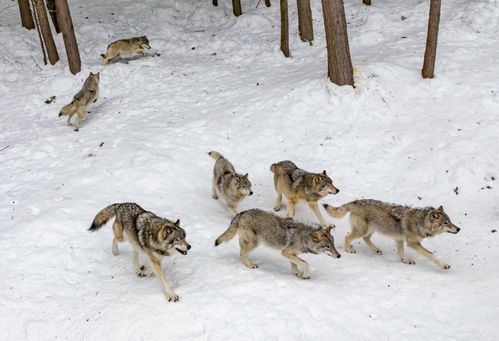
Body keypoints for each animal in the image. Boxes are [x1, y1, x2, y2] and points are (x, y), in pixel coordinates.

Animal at [213, 207, 342, 276]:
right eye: (328, 246)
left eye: (333, 245)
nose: (339, 256)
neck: (304, 238)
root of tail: (241, 212)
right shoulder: (285, 252)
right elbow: (305, 263)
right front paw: (305, 275)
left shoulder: (290, 253)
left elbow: (295, 264)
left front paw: (297, 274)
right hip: (255, 243)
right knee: (242, 253)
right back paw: (250, 265)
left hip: (248, 242)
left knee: (241, 251)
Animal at [324, 199, 460, 268]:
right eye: (446, 223)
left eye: (450, 221)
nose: (458, 229)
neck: (421, 222)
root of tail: (354, 202)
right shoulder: (413, 244)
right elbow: (431, 255)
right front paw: (444, 265)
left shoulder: (399, 239)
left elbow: (401, 252)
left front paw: (405, 260)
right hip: (362, 230)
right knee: (347, 237)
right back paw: (349, 249)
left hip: (371, 230)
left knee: (366, 239)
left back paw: (376, 249)